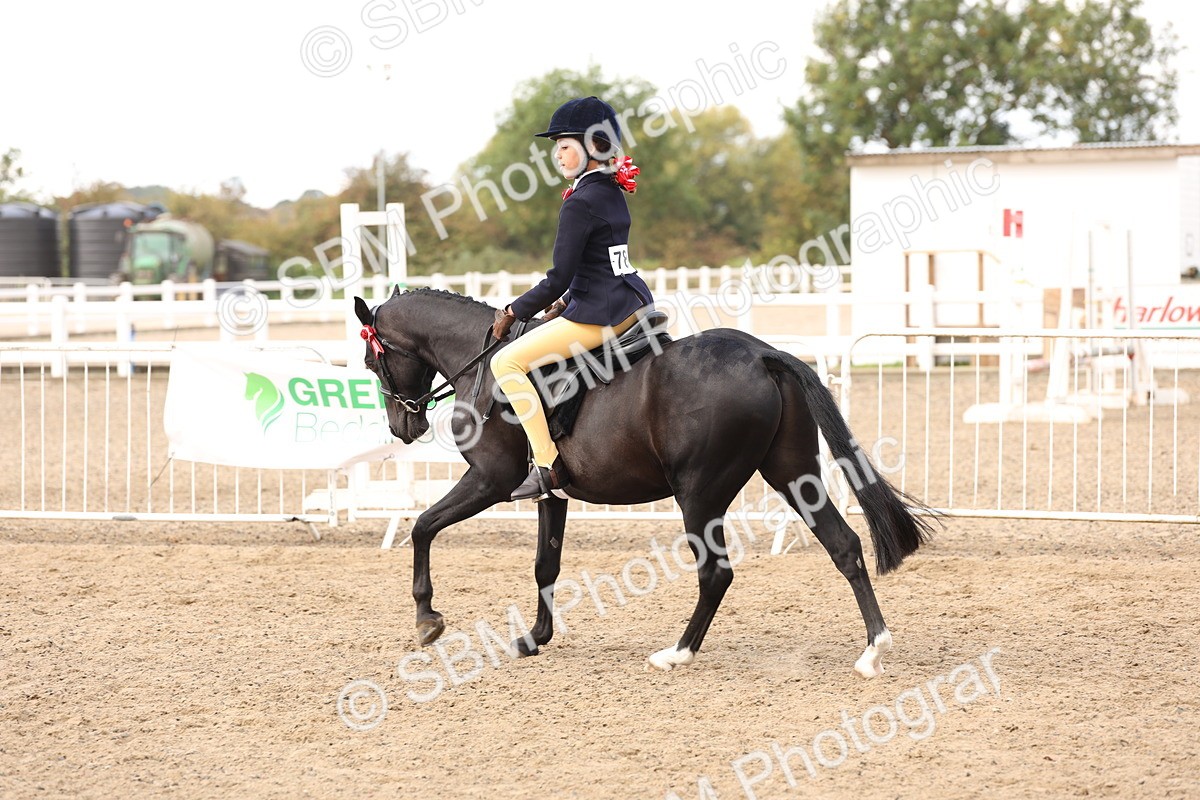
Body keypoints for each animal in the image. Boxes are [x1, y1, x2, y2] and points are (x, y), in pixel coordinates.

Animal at [353, 288, 932, 677]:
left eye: (371, 361)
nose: (403, 427)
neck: (484, 365)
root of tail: (761, 353)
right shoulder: (549, 493)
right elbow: (545, 564)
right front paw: (536, 637)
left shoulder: (489, 481)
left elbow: (423, 527)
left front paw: (427, 617)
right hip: (792, 474)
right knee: (844, 545)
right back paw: (873, 649)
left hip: (699, 493)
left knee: (715, 574)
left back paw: (677, 653)